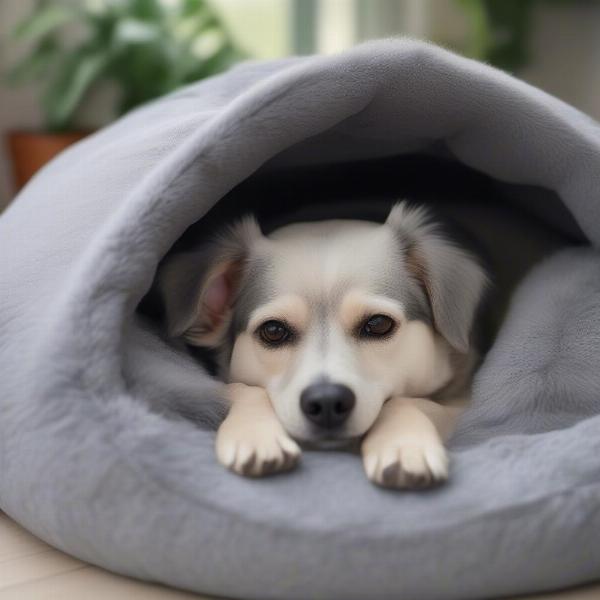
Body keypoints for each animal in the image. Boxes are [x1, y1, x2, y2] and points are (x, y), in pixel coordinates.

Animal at [157, 202, 490, 488]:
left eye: (378, 324)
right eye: (273, 331)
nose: (327, 402)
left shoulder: (461, 404)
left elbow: (407, 401)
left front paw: (404, 444)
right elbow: (244, 389)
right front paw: (254, 434)